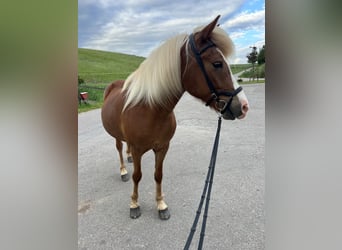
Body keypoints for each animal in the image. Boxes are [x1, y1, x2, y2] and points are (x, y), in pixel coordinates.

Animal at [101, 15, 248, 221]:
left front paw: (161, 205)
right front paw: (134, 204)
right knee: (120, 149)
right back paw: (123, 169)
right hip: (115, 136)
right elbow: (137, 176)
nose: (243, 106)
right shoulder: (139, 150)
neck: (150, 110)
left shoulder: (163, 147)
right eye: (217, 63)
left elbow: (158, 174)